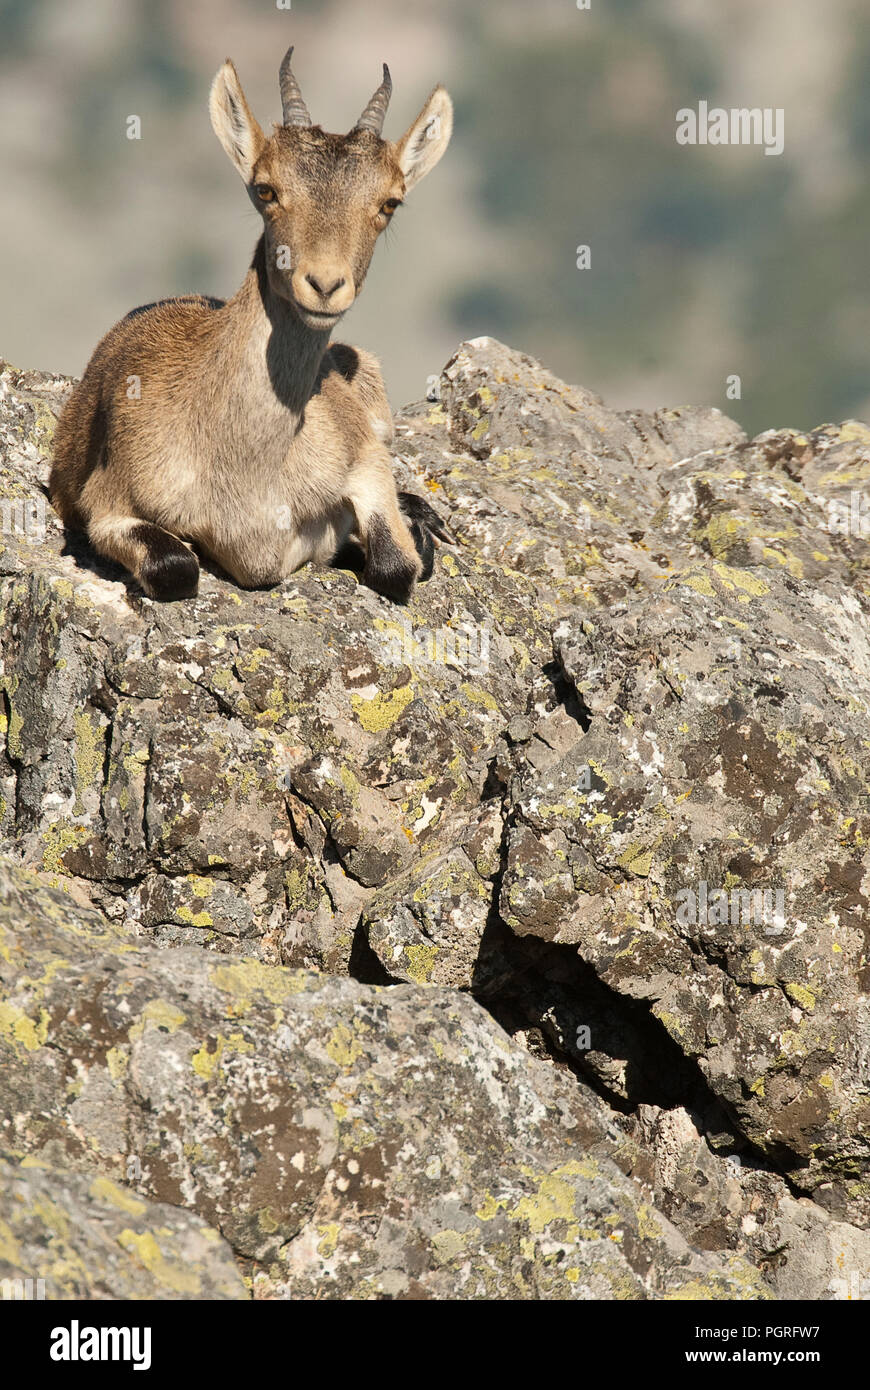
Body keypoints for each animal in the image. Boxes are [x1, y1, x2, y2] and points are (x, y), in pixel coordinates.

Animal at [49, 46, 453, 603]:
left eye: (390, 202)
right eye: (265, 189)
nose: (324, 284)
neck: (247, 470)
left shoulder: (365, 458)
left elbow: (397, 565)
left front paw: (404, 534)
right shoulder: (106, 503)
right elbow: (176, 565)